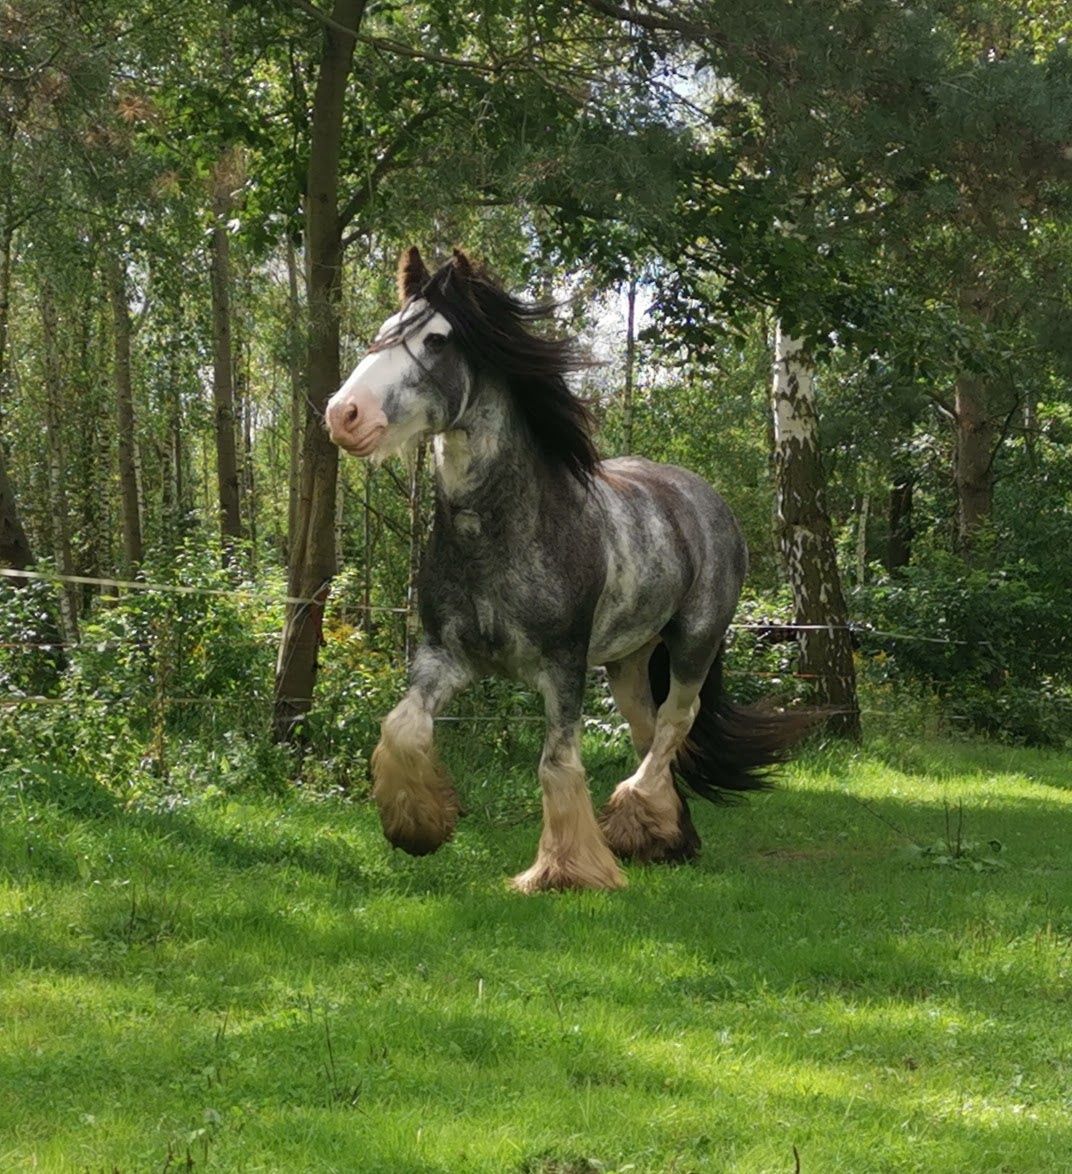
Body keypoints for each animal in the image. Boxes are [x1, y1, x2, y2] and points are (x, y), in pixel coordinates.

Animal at [326, 245, 803, 887]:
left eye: (437, 340)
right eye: (384, 331)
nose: (344, 414)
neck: (500, 535)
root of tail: (704, 497)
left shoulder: (563, 665)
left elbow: (557, 764)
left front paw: (567, 869)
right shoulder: (445, 656)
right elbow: (401, 730)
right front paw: (418, 828)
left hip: (695, 640)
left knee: (677, 721)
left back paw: (633, 811)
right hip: (628, 660)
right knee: (649, 728)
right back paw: (665, 837)